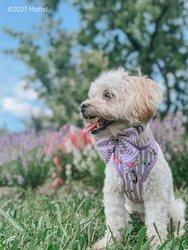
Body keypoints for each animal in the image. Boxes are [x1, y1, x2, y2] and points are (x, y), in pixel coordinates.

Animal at [79, 69, 185, 250]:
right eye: (91, 96)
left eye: (107, 95)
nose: (82, 106)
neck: (127, 145)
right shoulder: (114, 191)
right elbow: (114, 221)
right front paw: (109, 242)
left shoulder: (155, 194)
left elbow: (156, 222)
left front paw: (157, 243)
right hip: (130, 211)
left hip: (172, 207)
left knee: (178, 221)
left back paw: (178, 235)